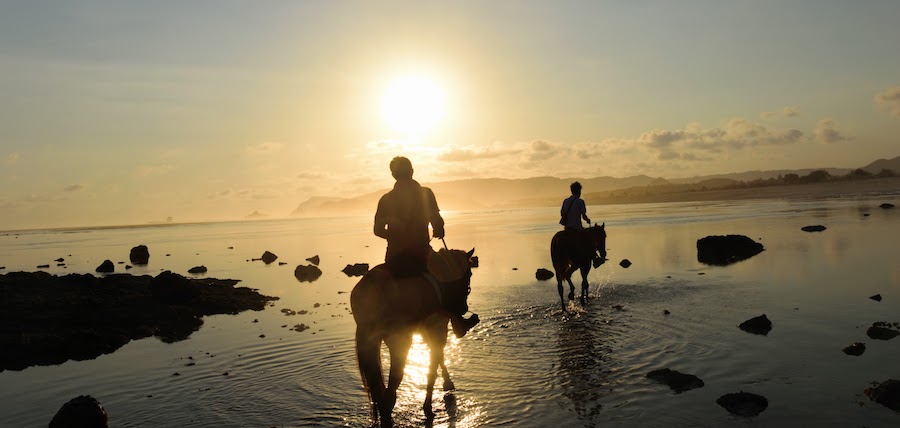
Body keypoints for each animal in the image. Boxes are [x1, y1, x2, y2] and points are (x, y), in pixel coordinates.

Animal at [351, 248, 475, 428]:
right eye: (470, 274)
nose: (464, 308)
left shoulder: (428, 331)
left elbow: (438, 358)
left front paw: (446, 383)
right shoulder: (438, 328)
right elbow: (433, 365)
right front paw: (429, 405)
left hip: (371, 342)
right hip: (399, 341)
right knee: (390, 391)